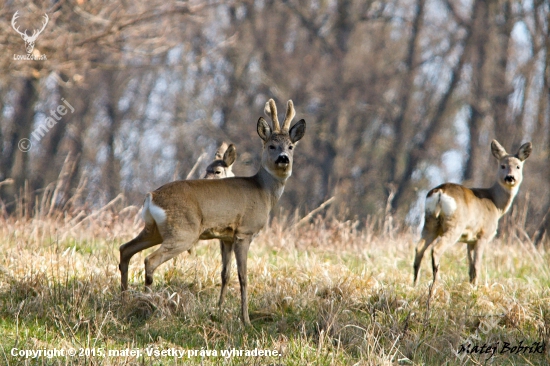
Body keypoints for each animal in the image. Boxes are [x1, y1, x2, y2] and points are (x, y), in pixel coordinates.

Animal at [119, 98, 308, 324]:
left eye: (290, 146)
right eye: (271, 145)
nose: (283, 158)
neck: (263, 191)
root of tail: (151, 197)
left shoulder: (226, 237)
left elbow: (225, 274)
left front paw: (218, 310)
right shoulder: (244, 232)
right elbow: (243, 277)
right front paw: (245, 320)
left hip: (154, 229)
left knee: (125, 249)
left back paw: (124, 300)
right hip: (183, 231)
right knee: (150, 260)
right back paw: (148, 304)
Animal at [414, 140, 536, 288]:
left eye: (518, 166)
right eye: (502, 165)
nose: (510, 178)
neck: (496, 204)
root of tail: (440, 192)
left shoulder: (469, 240)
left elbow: (470, 268)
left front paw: (470, 286)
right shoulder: (483, 235)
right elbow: (477, 266)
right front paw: (475, 288)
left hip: (430, 222)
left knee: (419, 248)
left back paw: (415, 284)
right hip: (454, 224)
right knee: (436, 249)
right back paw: (435, 284)